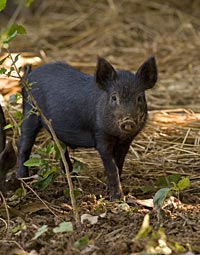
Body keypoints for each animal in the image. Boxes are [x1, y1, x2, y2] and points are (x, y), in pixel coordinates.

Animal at [17, 57, 158, 199]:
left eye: (139, 98)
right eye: (114, 97)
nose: (128, 121)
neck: (118, 136)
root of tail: (29, 76)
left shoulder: (125, 142)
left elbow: (119, 164)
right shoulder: (100, 136)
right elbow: (111, 168)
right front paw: (117, 198)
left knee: (61, 150)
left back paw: (73, 181)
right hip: (30, 111)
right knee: (23, 145)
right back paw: (23, 181)